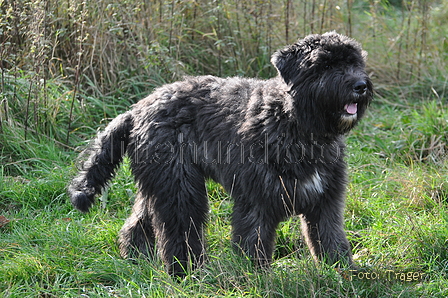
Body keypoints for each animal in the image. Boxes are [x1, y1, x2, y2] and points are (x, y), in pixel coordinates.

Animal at [68, 31, 372, 276]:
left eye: (355, 62)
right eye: (325, 64)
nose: (361, 86)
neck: (291, 122)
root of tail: (137, 109)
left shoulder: (325, 200)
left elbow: (331, 238)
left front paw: (343, 272)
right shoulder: (255, 201)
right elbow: (253, 242)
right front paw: (257, 277)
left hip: (162, 184)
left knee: (140, 222)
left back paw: (136, 257)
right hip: (180, 189)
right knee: (179, 232)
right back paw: (186, 272)